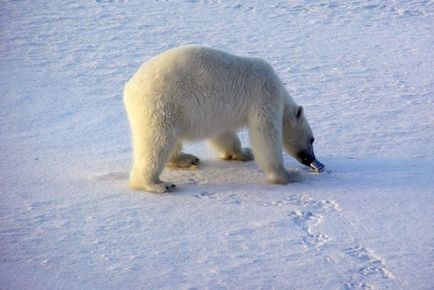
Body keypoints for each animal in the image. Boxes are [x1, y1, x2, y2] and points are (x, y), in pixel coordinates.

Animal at [124, 46, 318, 193]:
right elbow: (265, 134)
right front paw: (287, 175)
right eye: (312, 139)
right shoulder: (265, 95)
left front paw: (244, 152)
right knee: (157, 142)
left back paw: (187, 159)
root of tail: (129, 88)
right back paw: (159, 184)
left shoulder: (218, 115)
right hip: (161, 105)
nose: (311, 159)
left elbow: (223, 135)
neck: (281, 93)